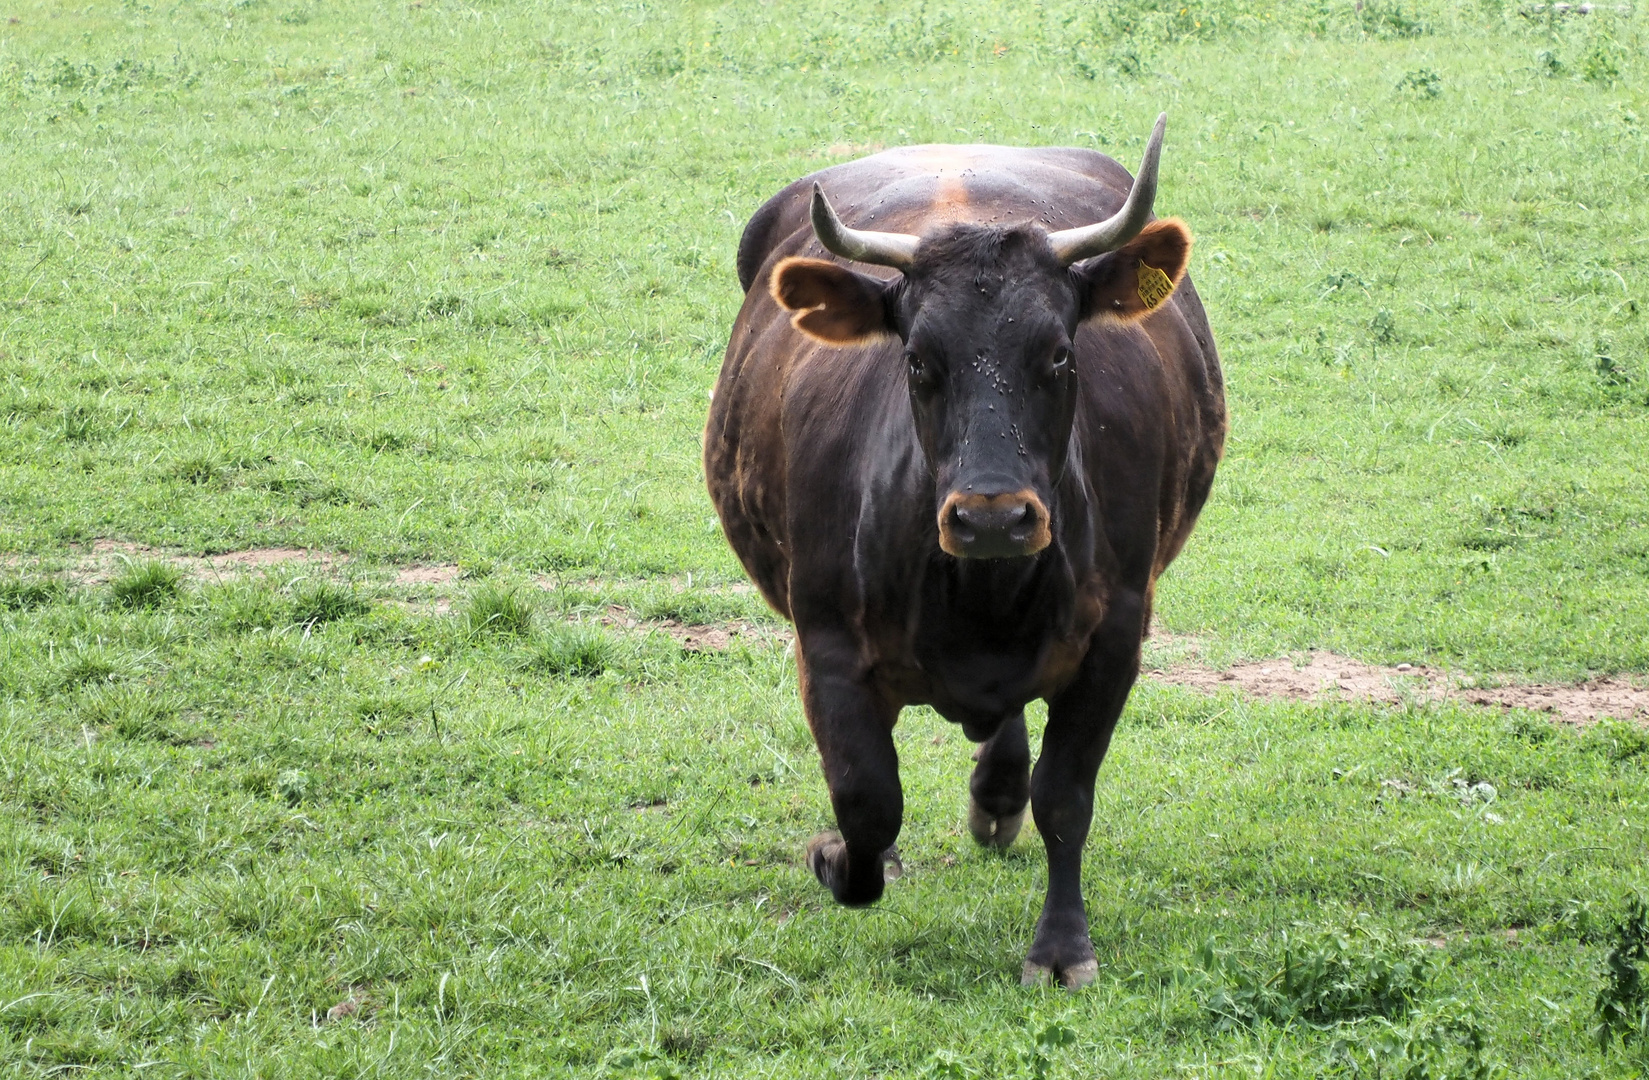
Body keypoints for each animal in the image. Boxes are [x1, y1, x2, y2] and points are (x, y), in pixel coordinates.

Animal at [702, 116, 1233, 989]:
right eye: (918, 359)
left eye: (1058, 354)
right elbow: (866, 801)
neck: (979, 600)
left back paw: (996, 798)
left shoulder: (1113, 639)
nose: (992, 518)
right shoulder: (826, 645)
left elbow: (1065, 798)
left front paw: (1060, 948)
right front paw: (833, 859)